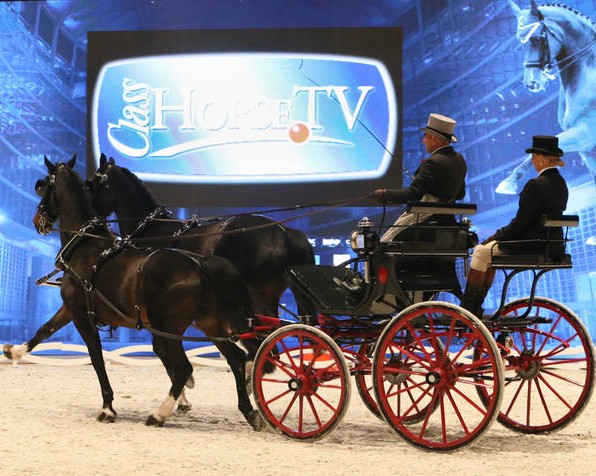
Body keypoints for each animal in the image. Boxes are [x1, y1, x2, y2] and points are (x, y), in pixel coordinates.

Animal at [31, 155, 264, 429]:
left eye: (43, 186)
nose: (37, 220)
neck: (86, 246)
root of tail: (201, 264)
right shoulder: (72, 310)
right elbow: (45, 330)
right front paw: (14, 351)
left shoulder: (81, 315)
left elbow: (97, 359)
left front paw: (107, 407)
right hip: (210, 324)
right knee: (236, 359)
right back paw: (250, 412)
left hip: (169, 328)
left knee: (184, 367)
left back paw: (159, 413)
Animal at [496, 1, 596, 207]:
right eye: (520, 42)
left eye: (536, 39)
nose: (531, 83)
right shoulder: (587, 150)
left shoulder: (585, 133)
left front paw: (508, 183)